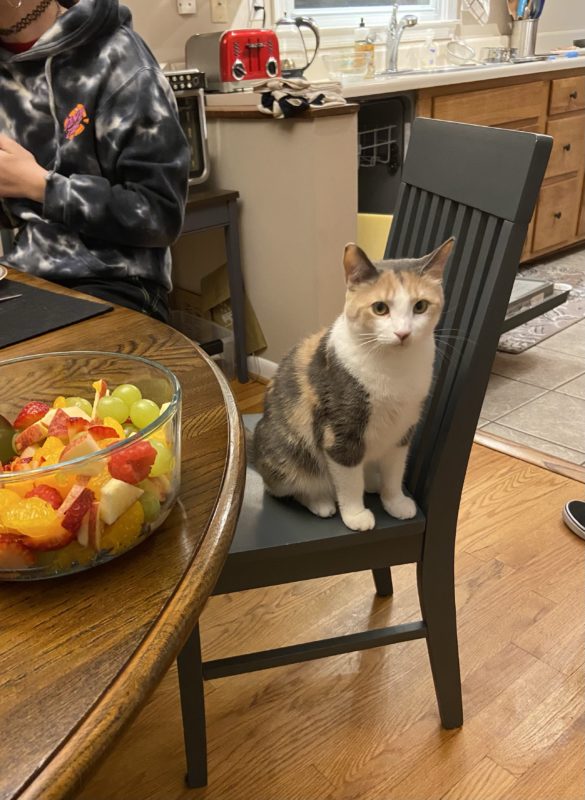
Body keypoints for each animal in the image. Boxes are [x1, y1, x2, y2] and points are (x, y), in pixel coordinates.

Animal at [253, 238, 454, 532]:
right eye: (380, 308)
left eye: (420, 306)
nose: (403, 333)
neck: (394, 369)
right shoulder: (340, 432)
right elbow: (348, 481)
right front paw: (356, 515)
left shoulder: (403, 428)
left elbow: (395, 470)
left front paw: (395, 502)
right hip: (288, 455)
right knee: (286, 488)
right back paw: (321, 502)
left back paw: (372, 481)